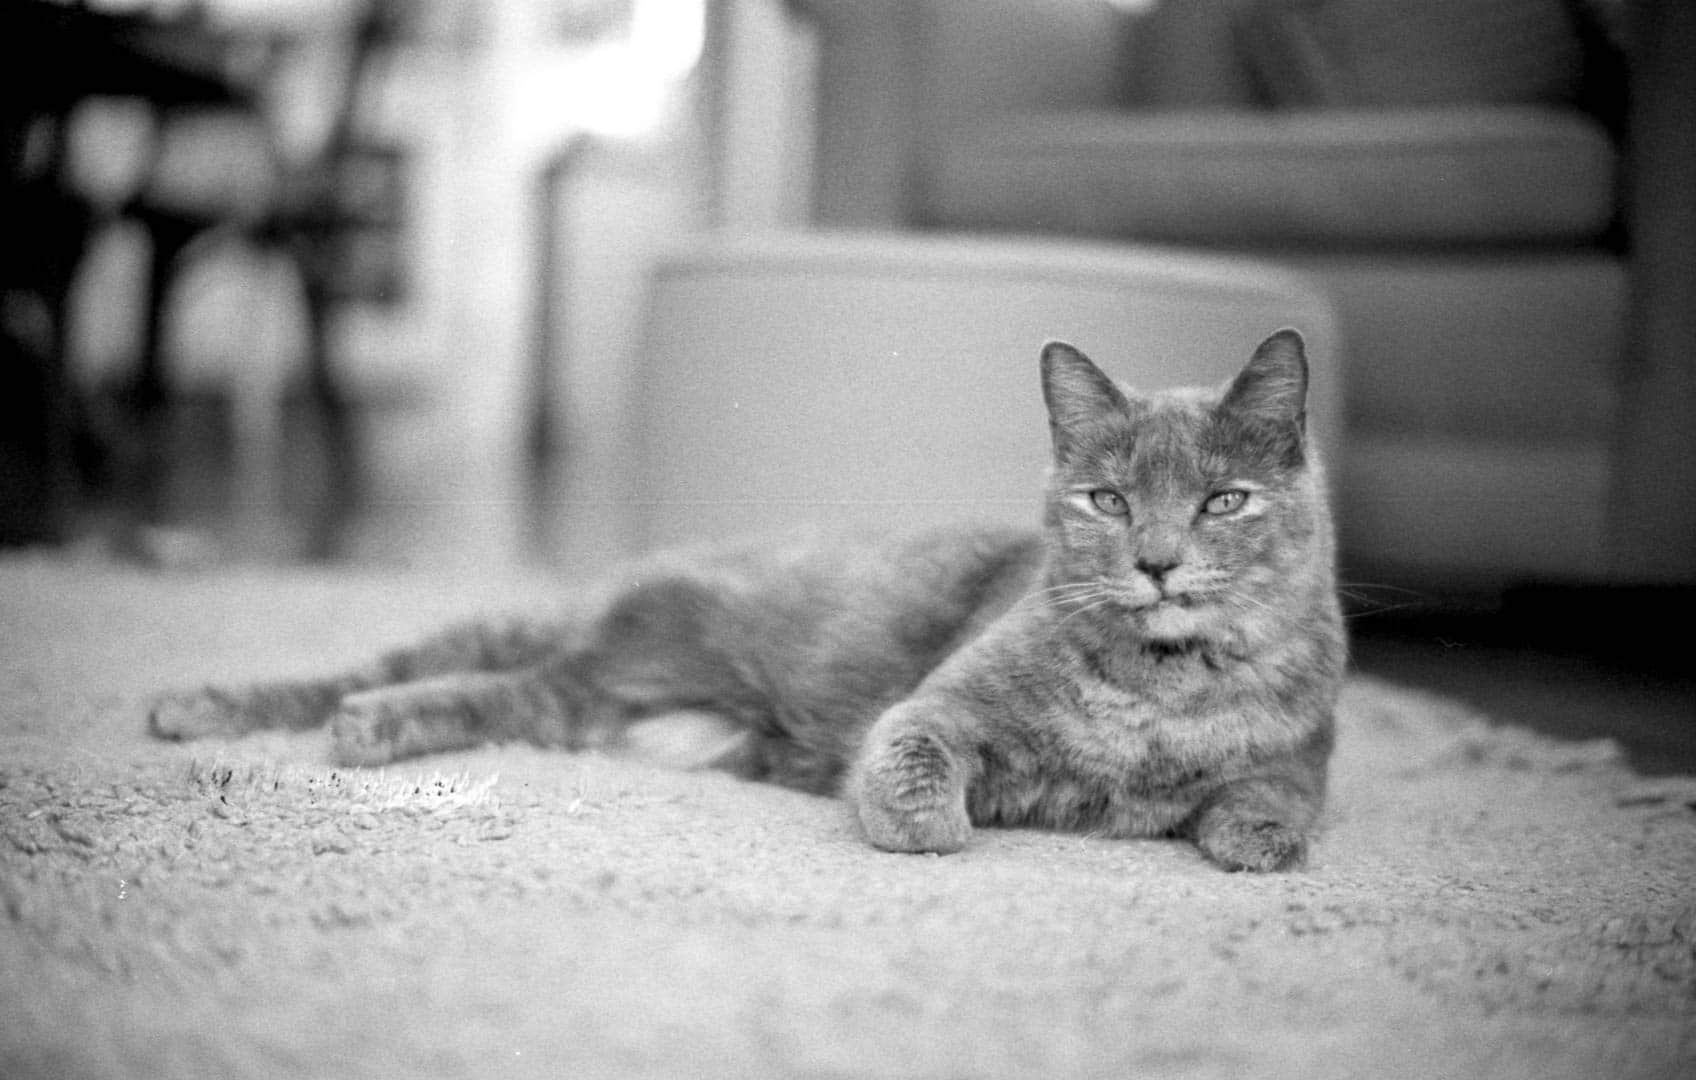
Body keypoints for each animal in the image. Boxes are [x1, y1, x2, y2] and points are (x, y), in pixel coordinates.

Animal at [145, 328, 1343, 868]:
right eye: (1108, 498)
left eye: (1223, 500)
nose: (1157, 561)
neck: (1163, 691)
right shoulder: (936, 708)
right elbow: (914, 773)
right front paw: (942, 825)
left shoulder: (1299, 753)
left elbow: (1278, 805)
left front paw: (1244, 831)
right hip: (613, 633)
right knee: (405, 663)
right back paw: (225, 707)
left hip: (584, 702)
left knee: (496, 691)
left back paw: (348, 725)